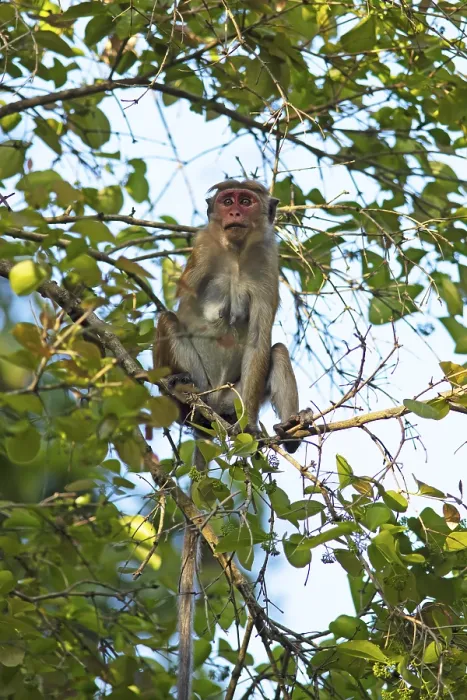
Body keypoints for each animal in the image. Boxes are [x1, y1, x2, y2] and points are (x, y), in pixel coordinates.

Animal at [153, 179, 300, 699]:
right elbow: (180, 310)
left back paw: (285, 432)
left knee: (277, 351)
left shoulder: (269, 263)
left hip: (233, 395)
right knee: (169, 322)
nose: (234, 212)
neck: (235, 252)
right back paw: (179, 394)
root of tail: (211, 408)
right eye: (228, 198)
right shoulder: (202, 250)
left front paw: (251, 429)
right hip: (200, 383)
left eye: (247, 200)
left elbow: (259, 339)